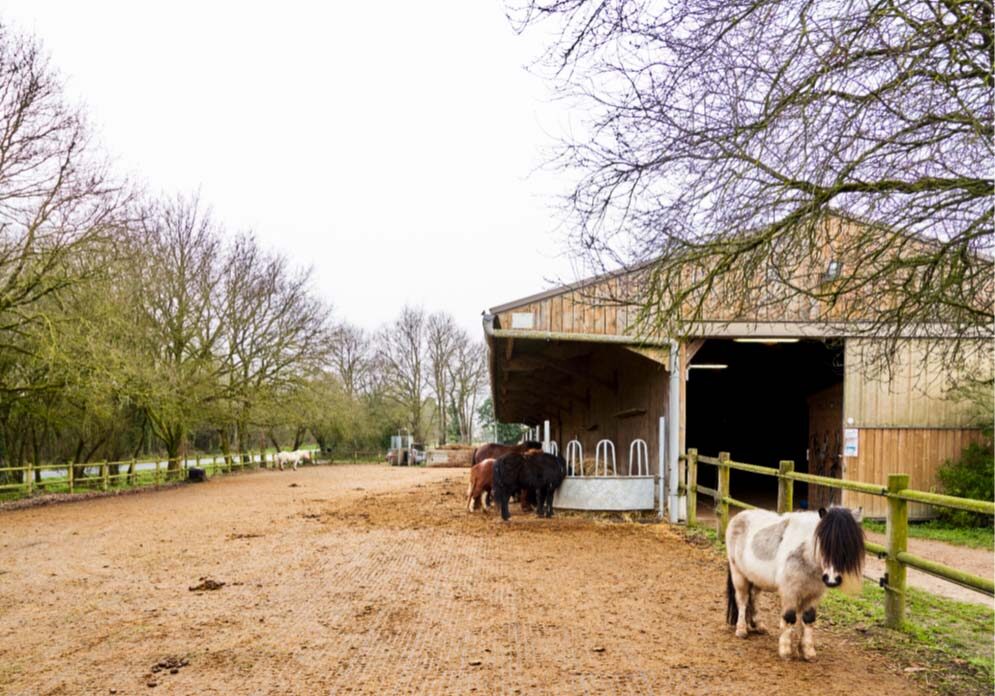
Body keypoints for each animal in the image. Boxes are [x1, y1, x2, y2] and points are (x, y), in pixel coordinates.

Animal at [724, 506, 864, 656]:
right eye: (823, 543)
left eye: (848, 545)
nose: (832, 580)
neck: (805, 554)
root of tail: (738, 516)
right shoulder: (790, 591)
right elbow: (790, 617)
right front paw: (785, 650)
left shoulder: (814, 594)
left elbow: (808, 618)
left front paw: (807, 650)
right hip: (738, 574)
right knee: (742, 600)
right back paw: (741, 629)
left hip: (756, 578)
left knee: (754, 597)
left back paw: (759, 625)